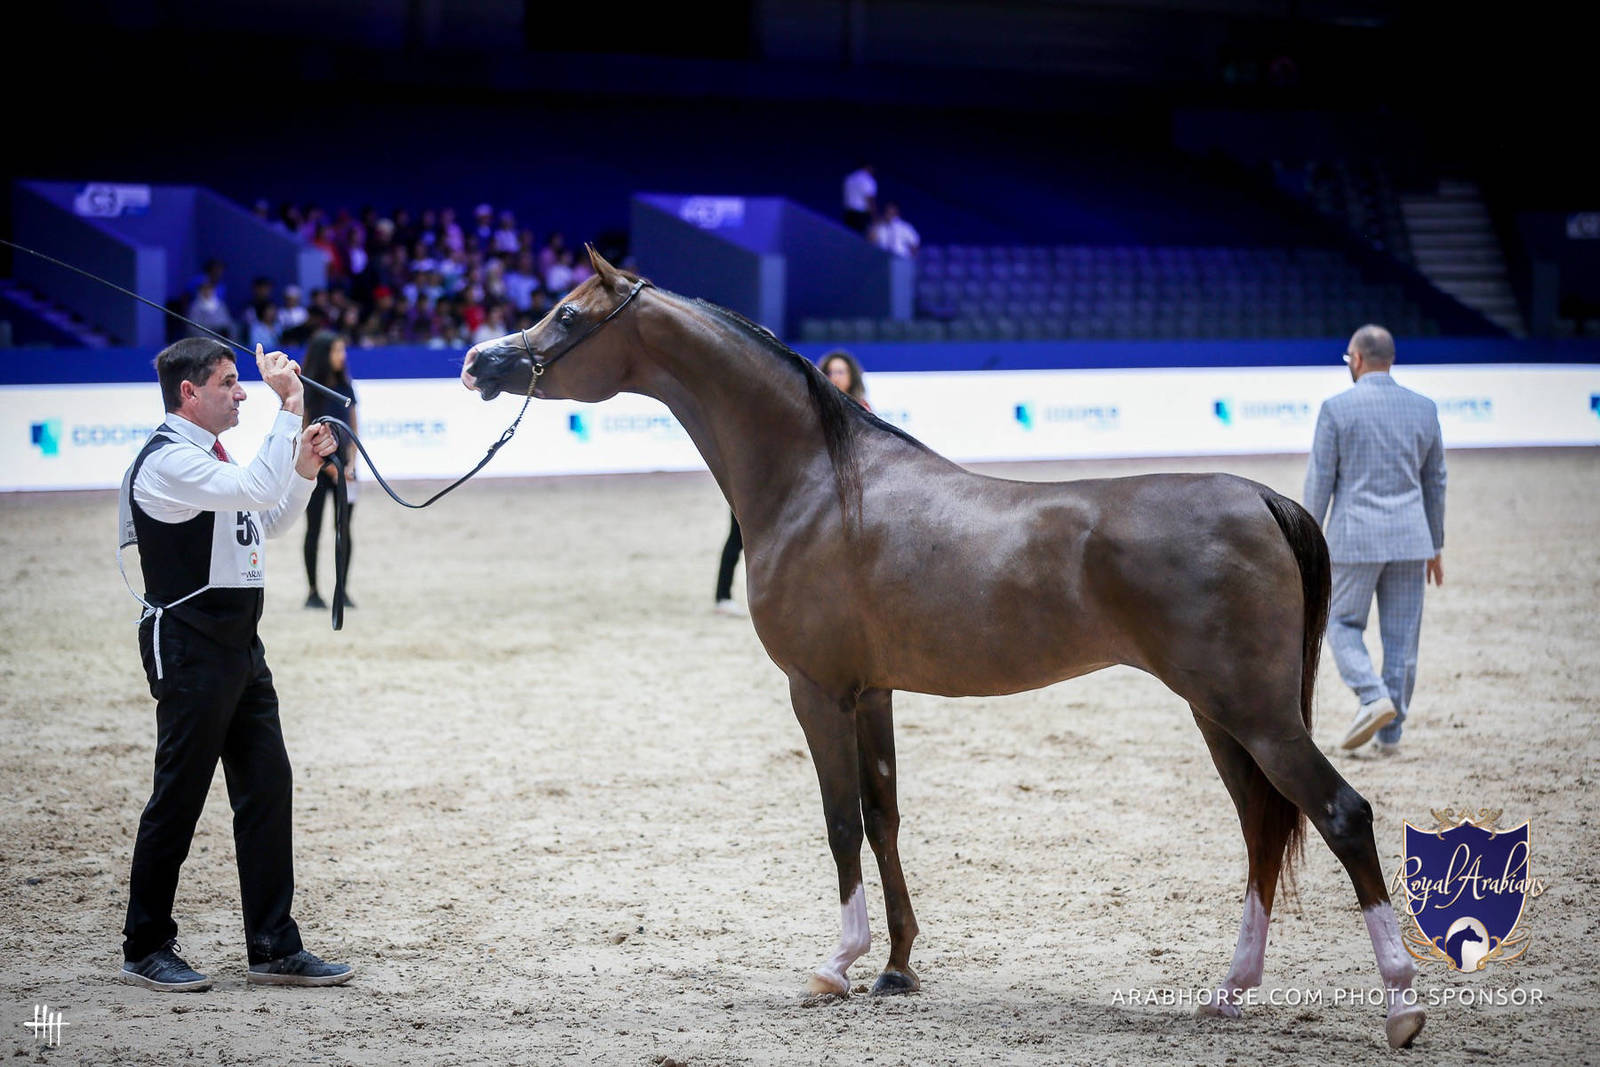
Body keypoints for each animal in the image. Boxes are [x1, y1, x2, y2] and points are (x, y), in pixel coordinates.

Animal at [460, 246, 1426, 1050]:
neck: (820, 484)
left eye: (568, 315)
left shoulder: (816, 690)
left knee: (1342, 815)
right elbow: (883, 815)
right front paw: (896, 965)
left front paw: (836, 965)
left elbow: (839, 820)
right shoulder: (872, 691)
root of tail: (1264, 499)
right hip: (1221, 716)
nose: (478, 363)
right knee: (1263, 829)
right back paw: (1229, 990)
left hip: (1255, 714)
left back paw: (1401, 1005)